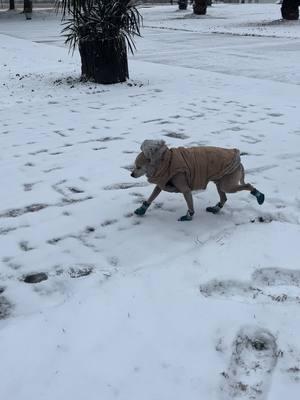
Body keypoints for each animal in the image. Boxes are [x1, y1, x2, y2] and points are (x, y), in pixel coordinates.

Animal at [130, 140, 264, 222]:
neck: (165, 161)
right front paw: (142, 209)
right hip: (220, 183)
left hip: (227, 185)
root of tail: (240, 163)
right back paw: (215, 209)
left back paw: (259, 195)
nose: (131, 174)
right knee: (224, 198)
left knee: (247, 185)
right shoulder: (161, 183)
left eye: (139, 167)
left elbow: (190, 205)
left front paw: (188, 216)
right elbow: (152, 197)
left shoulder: (185, 189)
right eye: (135, 166)